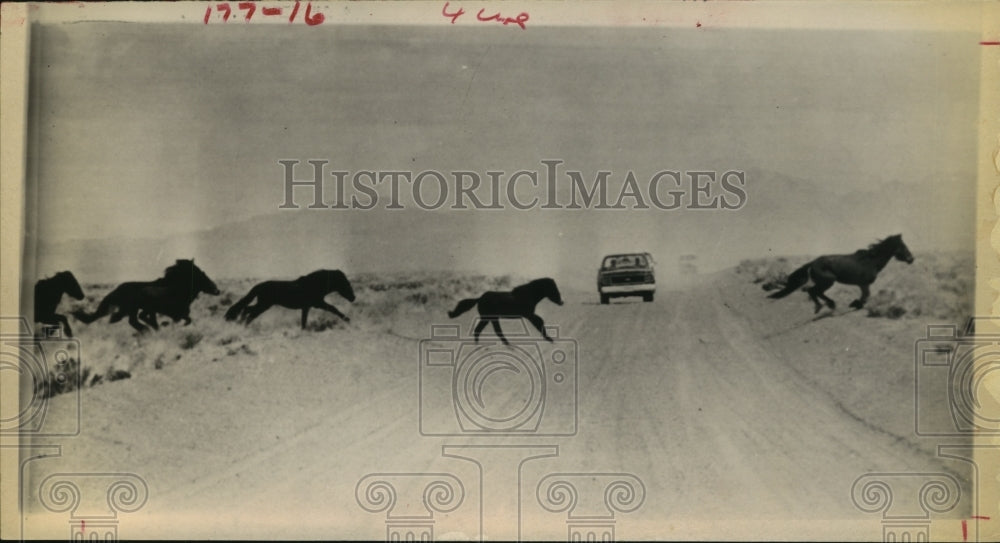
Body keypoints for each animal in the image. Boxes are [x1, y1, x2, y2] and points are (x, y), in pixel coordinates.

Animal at [73, 262, 221, 334]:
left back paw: (146, 329)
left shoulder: (156, 310)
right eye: (203, 278)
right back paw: (146, 329)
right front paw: (160, 326)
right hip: (130, 308)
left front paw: (157, 326)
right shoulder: (174, 312)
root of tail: (118, 289)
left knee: (131, 320)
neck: (177, 287)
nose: (217, 290)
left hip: (131, 309)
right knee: (129, 320)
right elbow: (186, 318)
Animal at [223, 270, 356, 330]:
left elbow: (304, 320)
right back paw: (242, 325)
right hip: (264, 304)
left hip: (263, 305)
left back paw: (241, 324)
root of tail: (260, 286)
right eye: (345, 284)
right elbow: (333, 309)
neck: (313, 284)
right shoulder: (318, 303)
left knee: (248, 310)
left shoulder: (307, 307)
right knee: (249, 312)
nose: (353, 298)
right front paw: (347, 319)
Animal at [772, 235, 916, 314]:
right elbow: (866, 295)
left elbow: (865, 295)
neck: (871, 260)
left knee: (814, 292)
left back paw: (826, 305)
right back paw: (825, 306)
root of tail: (812, 263)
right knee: (813, 291)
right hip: (828, 281)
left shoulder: (862, 284)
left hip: (825, 282)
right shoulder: (864, 284)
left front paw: (856, 304)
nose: (911, 259)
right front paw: (856, 304)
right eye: (903, 246)